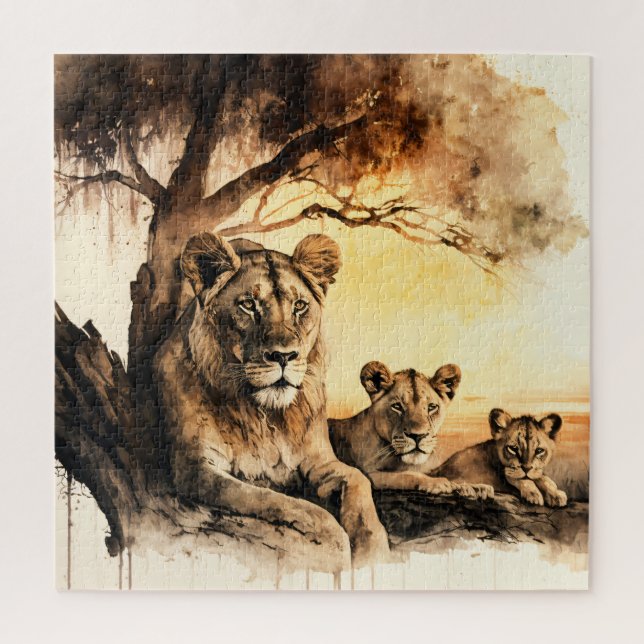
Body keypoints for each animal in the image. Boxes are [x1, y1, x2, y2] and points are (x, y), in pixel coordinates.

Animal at [154, 232, 390, 568]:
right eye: (248, 305)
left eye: (300, 306)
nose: (284, 356)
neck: (265, 414)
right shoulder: (197, 468)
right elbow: (288, 505)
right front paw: (337, 547)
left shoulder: (319, 459)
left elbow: (359, 481)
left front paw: (374, 552)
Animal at [328, 361, 493, 500]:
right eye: (397, 406)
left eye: (432, 407)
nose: (417, 436)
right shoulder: (368, 474)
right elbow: (405, 475)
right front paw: (437, 482)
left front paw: (475, 487)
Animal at [432, 408, 568, 507]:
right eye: (513, 448)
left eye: (539, 451)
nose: (526, 468)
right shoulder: (506, 475)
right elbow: (521, 478)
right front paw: (534, 494)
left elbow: (543, 478)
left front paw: (556, 494)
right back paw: (479, 489)